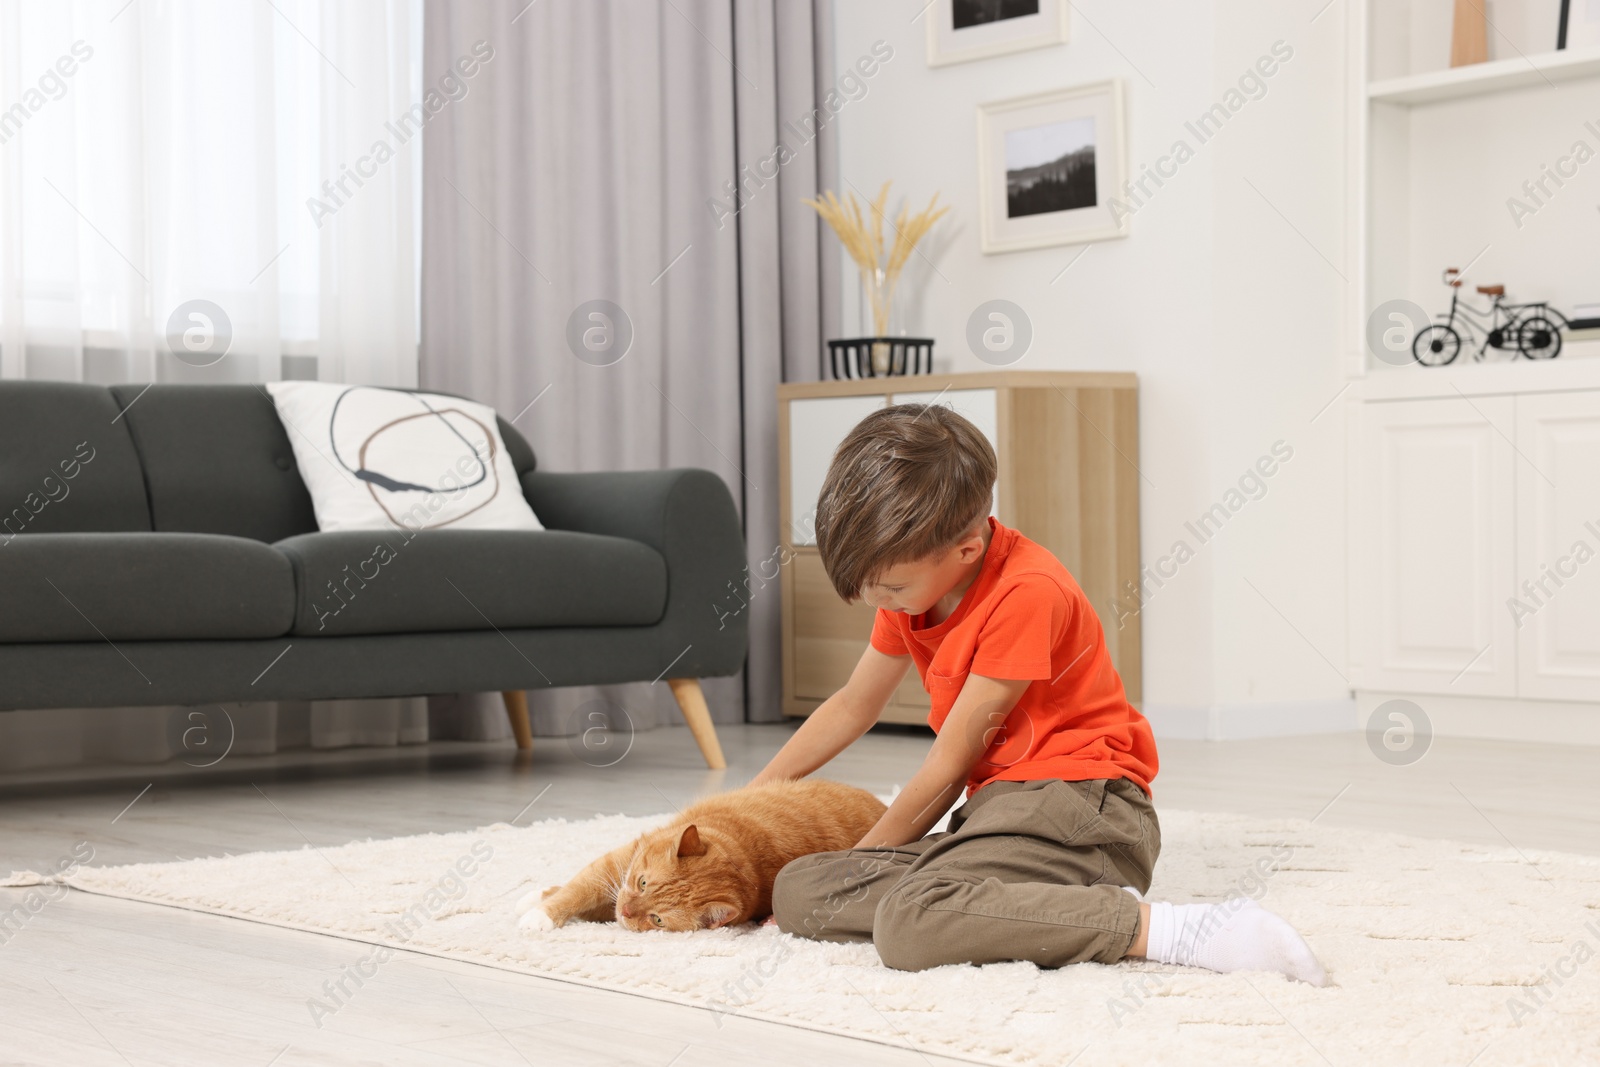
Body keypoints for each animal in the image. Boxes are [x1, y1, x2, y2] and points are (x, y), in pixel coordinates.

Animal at [515, 777, 883, 934]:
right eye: (643, 883)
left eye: (657, 919)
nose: (627, 911)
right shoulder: (615, 867)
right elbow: (575, 891)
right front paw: (540, 903)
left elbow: (587, 899)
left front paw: (538, 915)